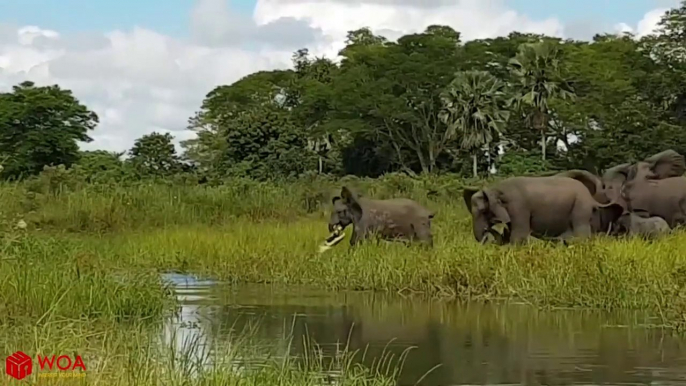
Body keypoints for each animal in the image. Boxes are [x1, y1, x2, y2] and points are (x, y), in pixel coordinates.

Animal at [464, 175, 628, 244]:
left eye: (483, 211)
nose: (487, 236)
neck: (496, 188)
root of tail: (591, 197)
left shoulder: (519, 206)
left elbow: (519, 234)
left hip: (581, 207)